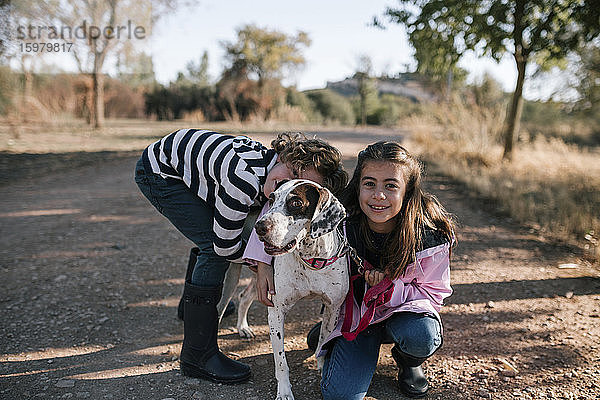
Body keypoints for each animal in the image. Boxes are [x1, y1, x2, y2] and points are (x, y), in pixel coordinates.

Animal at [252, 180, 346, 400]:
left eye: (296, 203)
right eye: (271, 199)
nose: (259, 226)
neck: (310, 259)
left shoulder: (333, 309)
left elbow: (323, 341)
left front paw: (321, 365)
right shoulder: (276, 312)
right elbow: (280, 361)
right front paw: (284, 391)